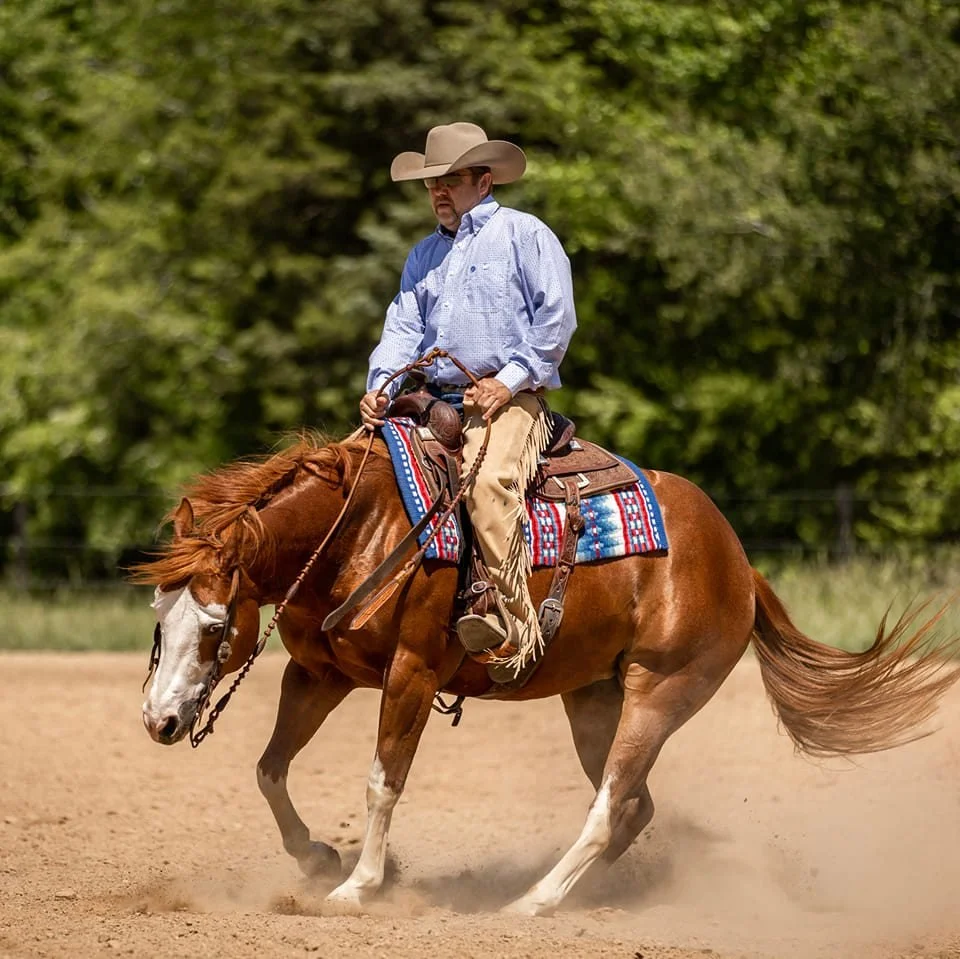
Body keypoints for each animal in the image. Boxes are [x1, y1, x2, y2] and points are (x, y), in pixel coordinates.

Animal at [133, 431, 960, 916]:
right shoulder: (317, 672)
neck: (363, 527)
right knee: (632, 805)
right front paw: (319, 857)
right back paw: (589, 892)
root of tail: (739, 563)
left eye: (216, 628)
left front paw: (358, 884)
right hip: (592, 700)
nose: (159, 721)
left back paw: (534, 900)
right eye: (157, 616)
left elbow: (382, 780)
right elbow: (270, 768)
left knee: (611, 802)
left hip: (658, 694)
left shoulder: (410, 672)